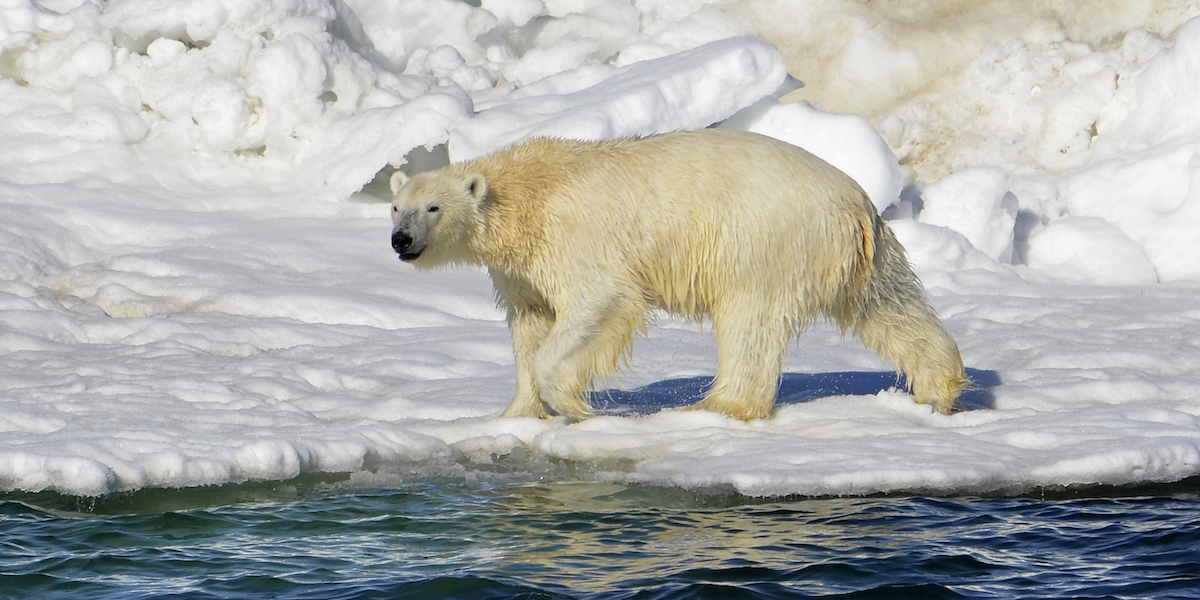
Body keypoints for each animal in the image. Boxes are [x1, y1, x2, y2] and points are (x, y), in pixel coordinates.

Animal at [388, 129, 969, 420]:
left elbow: (599, 302)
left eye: (433, 207)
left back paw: (718, 405)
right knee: (889, 306)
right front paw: (516, 414)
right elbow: (530, 324)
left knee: (750, 321)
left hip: (763, 241)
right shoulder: (522, 269)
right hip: (861, 254)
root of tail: (855, 203)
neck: (528, 193)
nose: (401, 240)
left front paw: (576, 406)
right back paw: (937, 388)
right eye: (396, 207)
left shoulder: (575, 238)